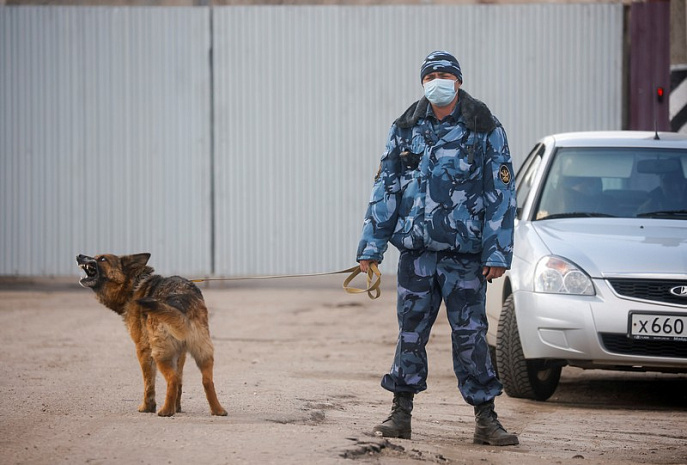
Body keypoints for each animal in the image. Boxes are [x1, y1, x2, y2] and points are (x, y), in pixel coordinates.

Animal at [77, 254, 228, 416]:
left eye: (102, 259)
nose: (79, 256)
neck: (134, 285)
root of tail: (181, 300)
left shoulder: (143, 350)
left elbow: (148, 383)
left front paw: (147, 407)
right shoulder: (181, 353)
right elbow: (180, 381)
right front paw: (177, 407)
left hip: (160, 354)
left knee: (172, 379)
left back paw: (166, 410)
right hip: (203, 353)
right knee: (206, 381)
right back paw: (217, 410)